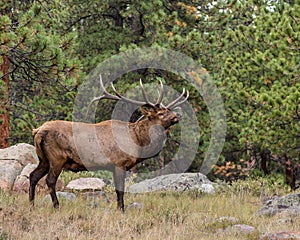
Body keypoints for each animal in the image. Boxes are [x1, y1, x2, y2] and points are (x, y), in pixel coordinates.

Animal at [29, 76, 189, 211]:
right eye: (160, 113)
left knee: (33, 176)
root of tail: (38, 131)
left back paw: (32, 206)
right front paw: (121, 210)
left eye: (168, 110)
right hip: (57, 158)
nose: (177, 115)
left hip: (43, 159)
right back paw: (56, 207)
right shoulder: (119, 163)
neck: (138, 142)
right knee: (50, 181)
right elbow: (120, 190)